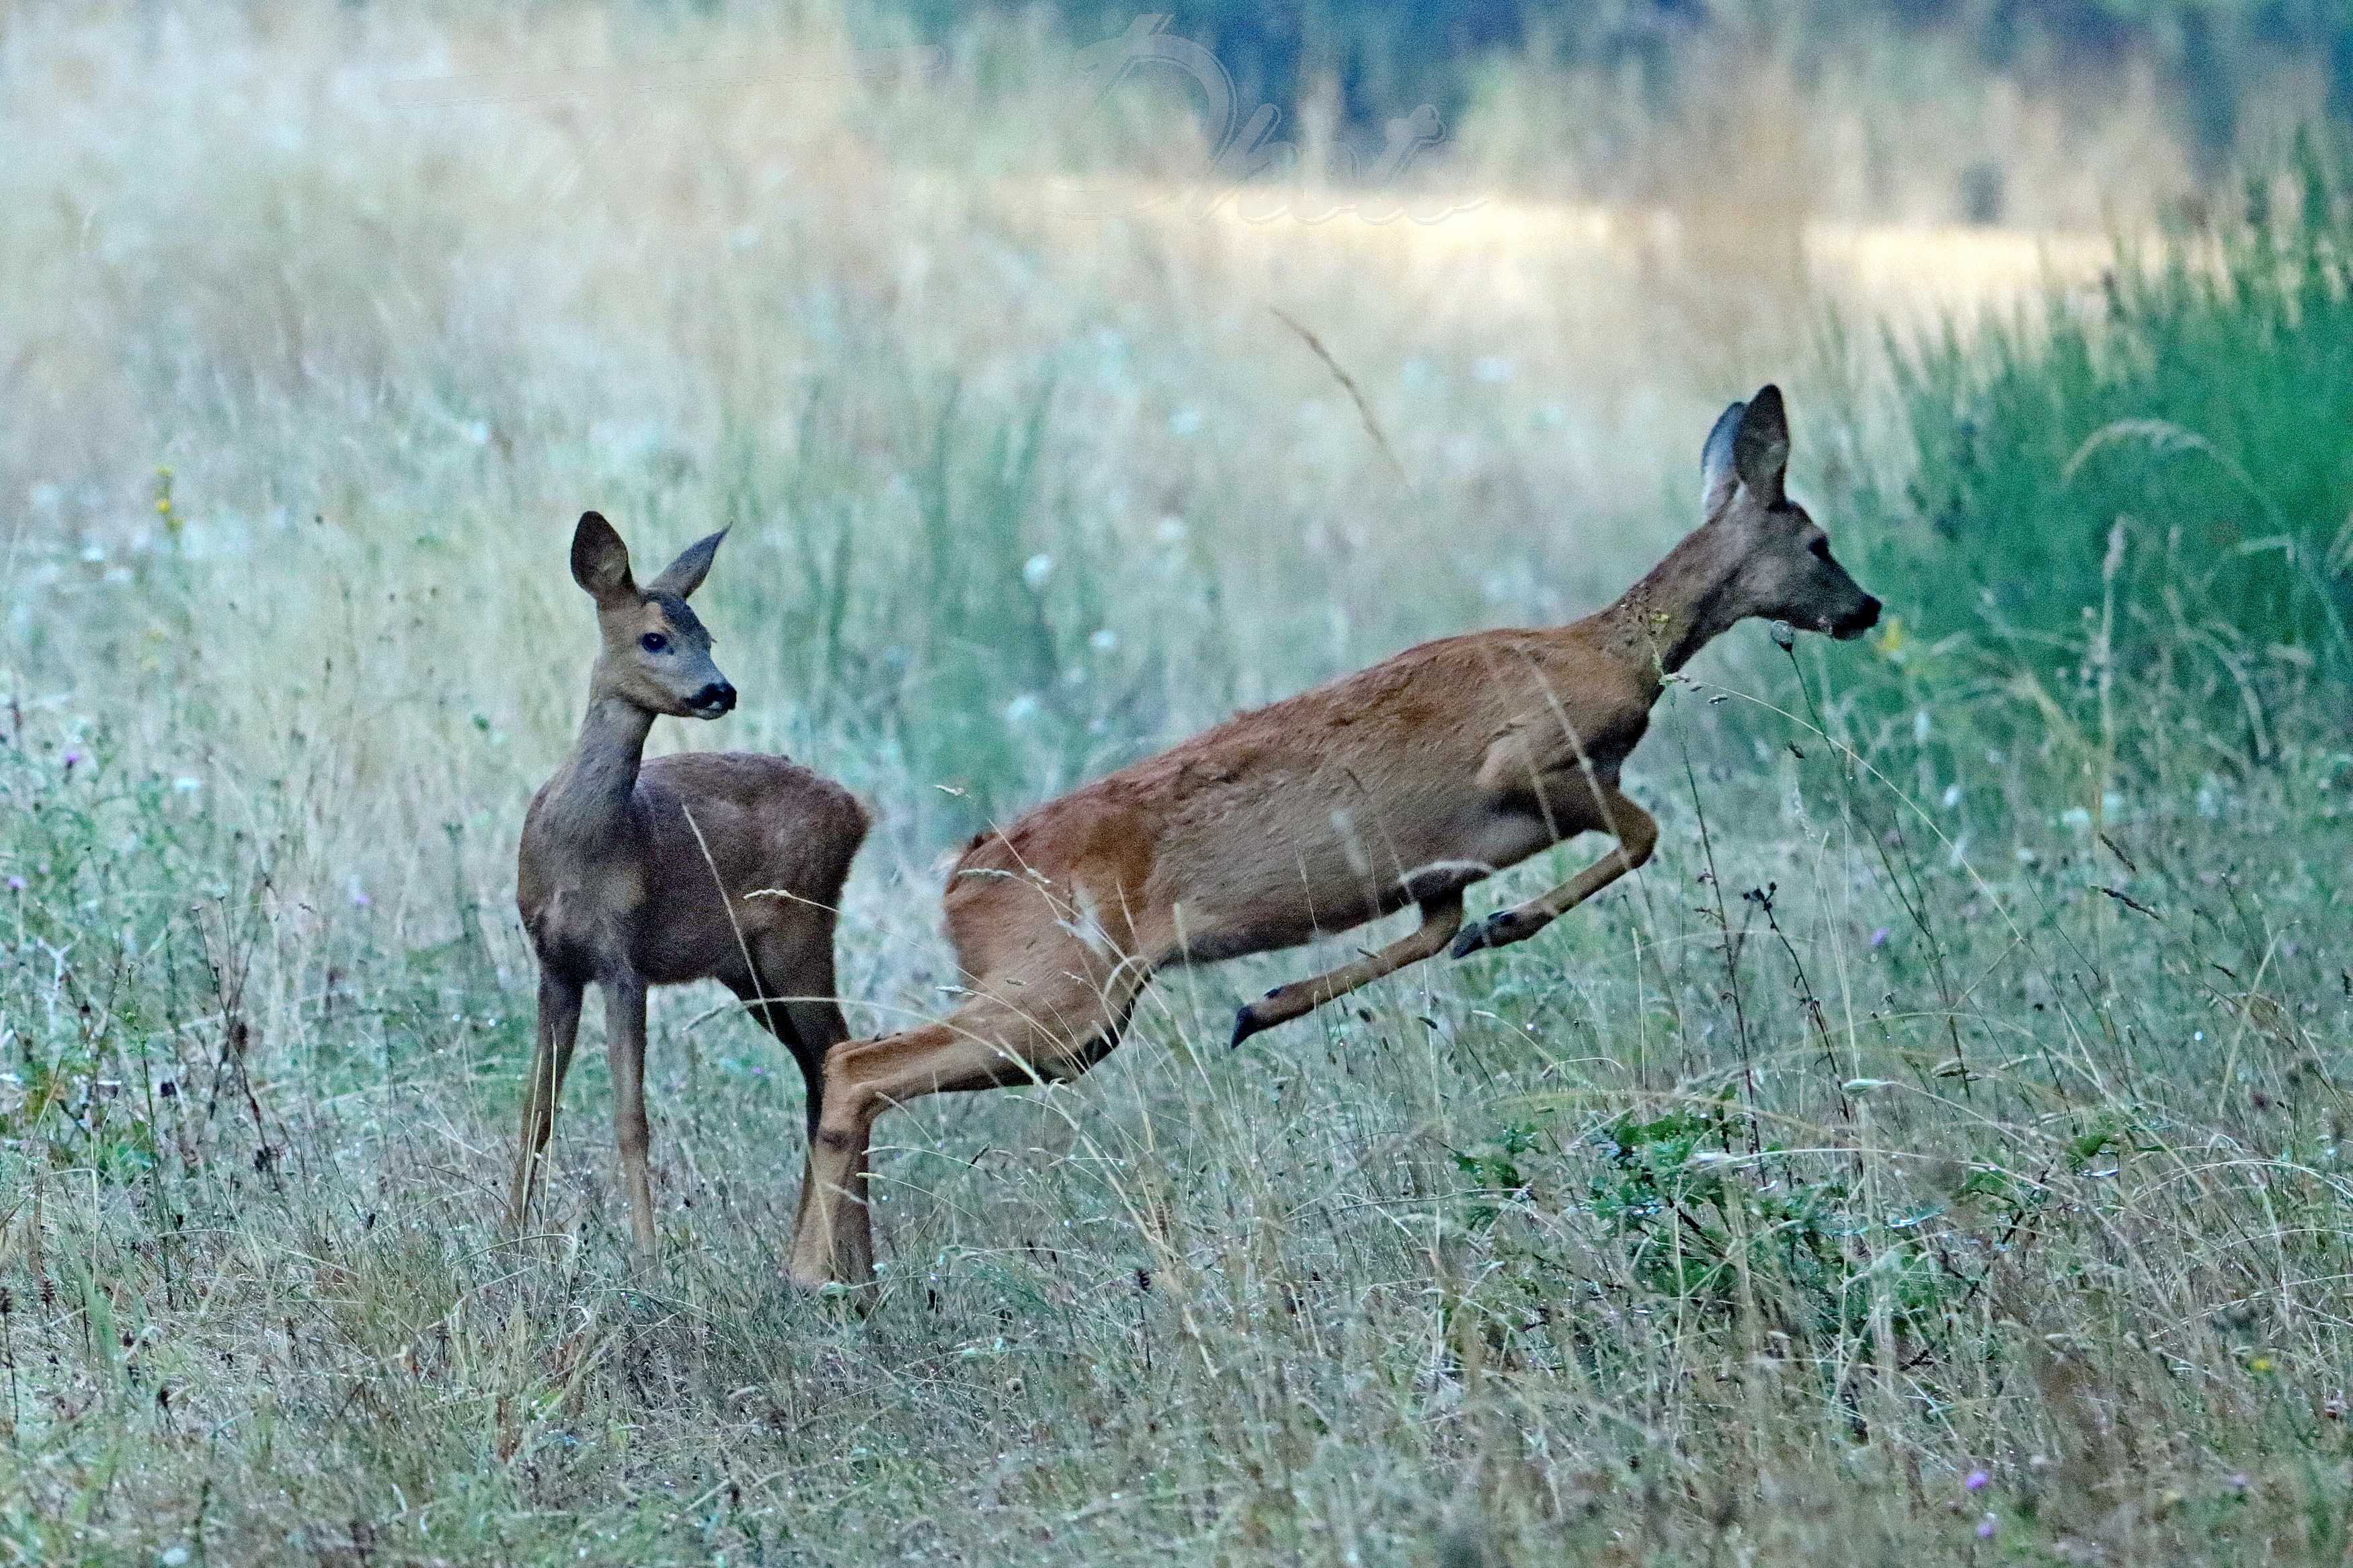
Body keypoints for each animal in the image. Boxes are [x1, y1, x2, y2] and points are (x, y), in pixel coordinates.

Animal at [510, 515, 871, 1260]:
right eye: (656, 637)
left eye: (708, 638)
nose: (720, 691)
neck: (583, 846)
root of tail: (859, 812)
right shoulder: (554, 963)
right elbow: (537, 1109)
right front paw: (507, 1242)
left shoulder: (624, 960)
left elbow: (630, 1119)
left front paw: (648, 1260)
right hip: (750, 970)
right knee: (819, 1073)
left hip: (800, 935)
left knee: (842, 1058)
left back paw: (840, 1260)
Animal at [791, 385, 1873, 1297]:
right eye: (1818, 540)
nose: (1867, 609)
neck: (1618, 651)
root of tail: (962, 881)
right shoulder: (1532, 762)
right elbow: (1639, 835)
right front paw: (1504, 927)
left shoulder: (1439, 863)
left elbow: (1433, 928)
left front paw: (1264, 1006)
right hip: (1057, 992)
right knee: (857, 1065)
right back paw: (815, 1277)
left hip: (1074, 1012)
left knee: (852, 1068)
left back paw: (845, 1274)